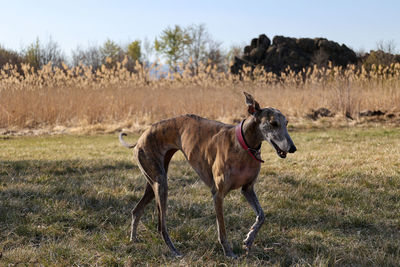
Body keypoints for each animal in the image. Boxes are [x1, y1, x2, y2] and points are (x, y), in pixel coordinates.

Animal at [119, 92, 296, 260]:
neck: (244, 144)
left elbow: (261, 216)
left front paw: (249, 239)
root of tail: (142, 135)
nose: (293, 148)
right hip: (161, 183)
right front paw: (229, 253)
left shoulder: (247, 189)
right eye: (273, 123)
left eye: (286, 123)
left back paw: (133, 239)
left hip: (153, 183)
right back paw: (174, 251)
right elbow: (222, 230)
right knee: (161, 225)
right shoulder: (218, 194)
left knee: (136, 210)